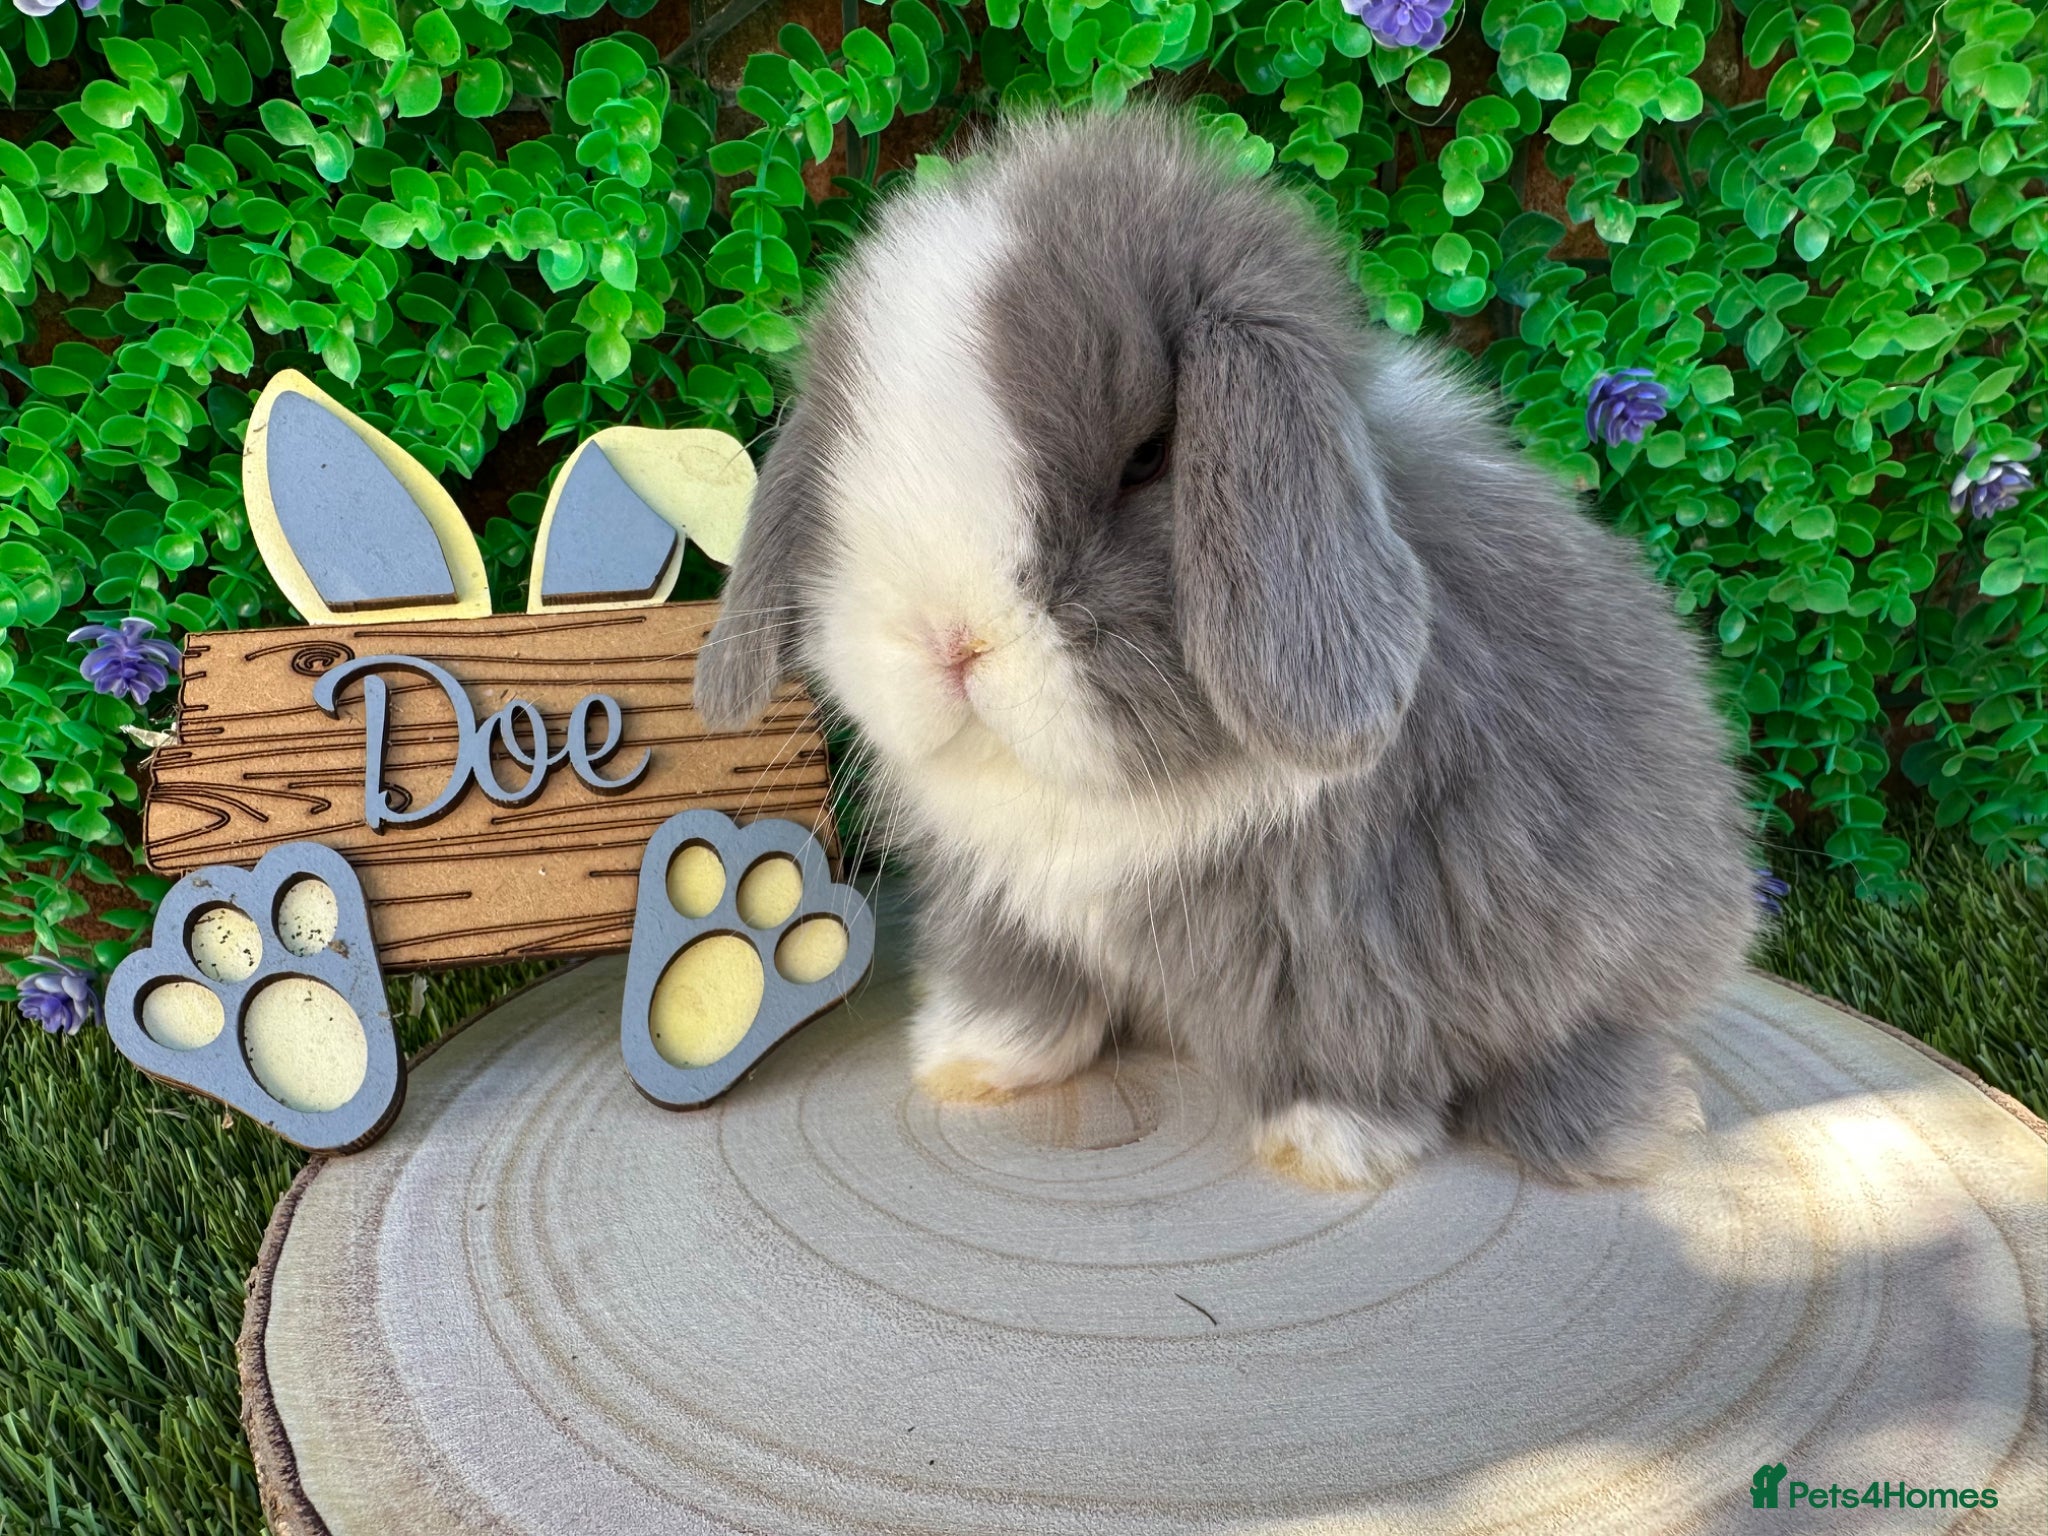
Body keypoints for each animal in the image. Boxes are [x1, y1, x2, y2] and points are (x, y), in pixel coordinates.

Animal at [696, 106, 1758, 1190]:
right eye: (843, 458)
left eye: (1146, 458)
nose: (947, 639)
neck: (1097, 797)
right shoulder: (1003, 904)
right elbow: (1022, 992)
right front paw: (972, 1066)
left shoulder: (1353, 933)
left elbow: (1347, 1037)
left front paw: (1328, 1144)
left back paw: (1632, 1127)